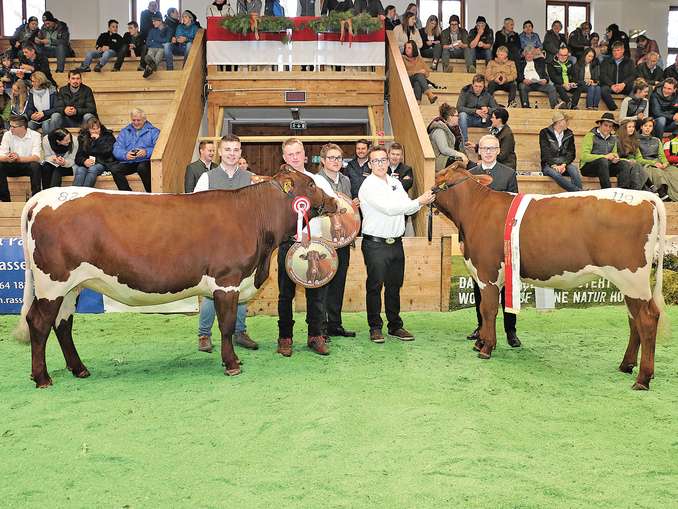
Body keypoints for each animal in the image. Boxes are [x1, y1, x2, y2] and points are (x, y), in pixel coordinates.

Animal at [17, 169, 340, 386]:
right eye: (311, 183)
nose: (335, 201)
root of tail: (43, 197)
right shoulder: (227, 280)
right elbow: (225, 326)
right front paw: (231, 363)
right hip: (52, 283)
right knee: (39, 323)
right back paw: (42, 377)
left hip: (71, 286)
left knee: (63, 324)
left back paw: (79, 369)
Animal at [436, 163, 668, 388]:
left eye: (438, 176)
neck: (476, 209)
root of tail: (645, 197)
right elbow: (485, 311)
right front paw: (480, 343)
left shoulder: (487, 273)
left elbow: (488, 310)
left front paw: (485, 348)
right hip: (629, 284)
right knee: (634, 319)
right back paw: (626, 365)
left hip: (632, 279)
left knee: (647, 320)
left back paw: (643, 379)